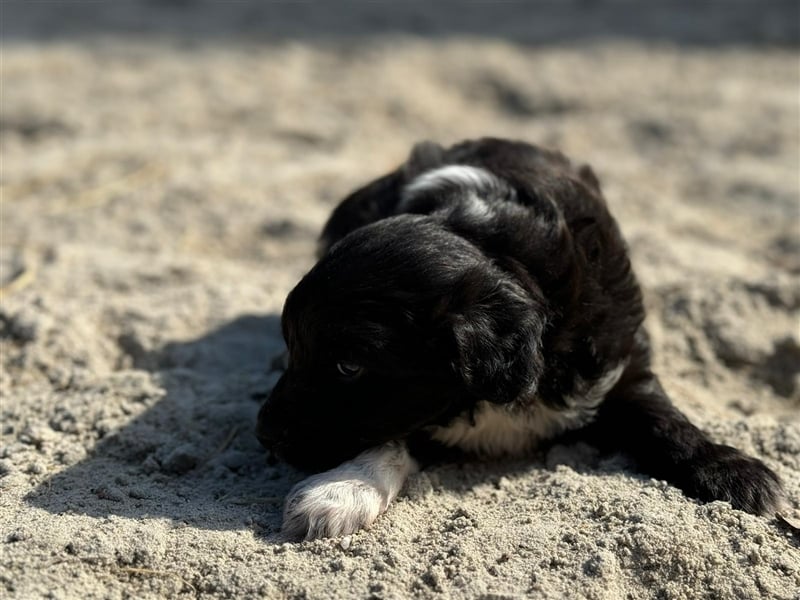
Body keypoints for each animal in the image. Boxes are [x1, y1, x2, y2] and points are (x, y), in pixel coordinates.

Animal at [258, 139, 788, 540]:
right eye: (296, 347)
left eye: (349, 366)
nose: (263, 435)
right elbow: (392, 436)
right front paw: (341, 490)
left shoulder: (620, 360)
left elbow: (662, 416)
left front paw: (733, 470)